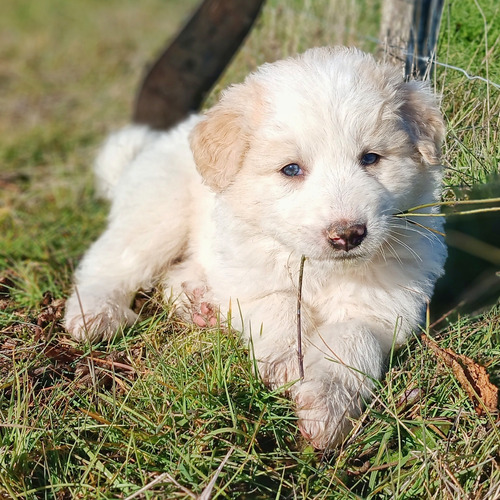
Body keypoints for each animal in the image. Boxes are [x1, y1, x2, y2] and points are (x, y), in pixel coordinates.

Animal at [65, 47, 446, 450]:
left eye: (371, 158)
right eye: (291, 169)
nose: (347, 234)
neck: (321, 269)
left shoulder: (383, 310)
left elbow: (353, 342)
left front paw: (325, 407)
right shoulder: (248, 278)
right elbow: (281, 305)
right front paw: (288, 363)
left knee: (173, 276)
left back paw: (201, 304)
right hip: (158, 216)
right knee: (110, 262)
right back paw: (97, 314)